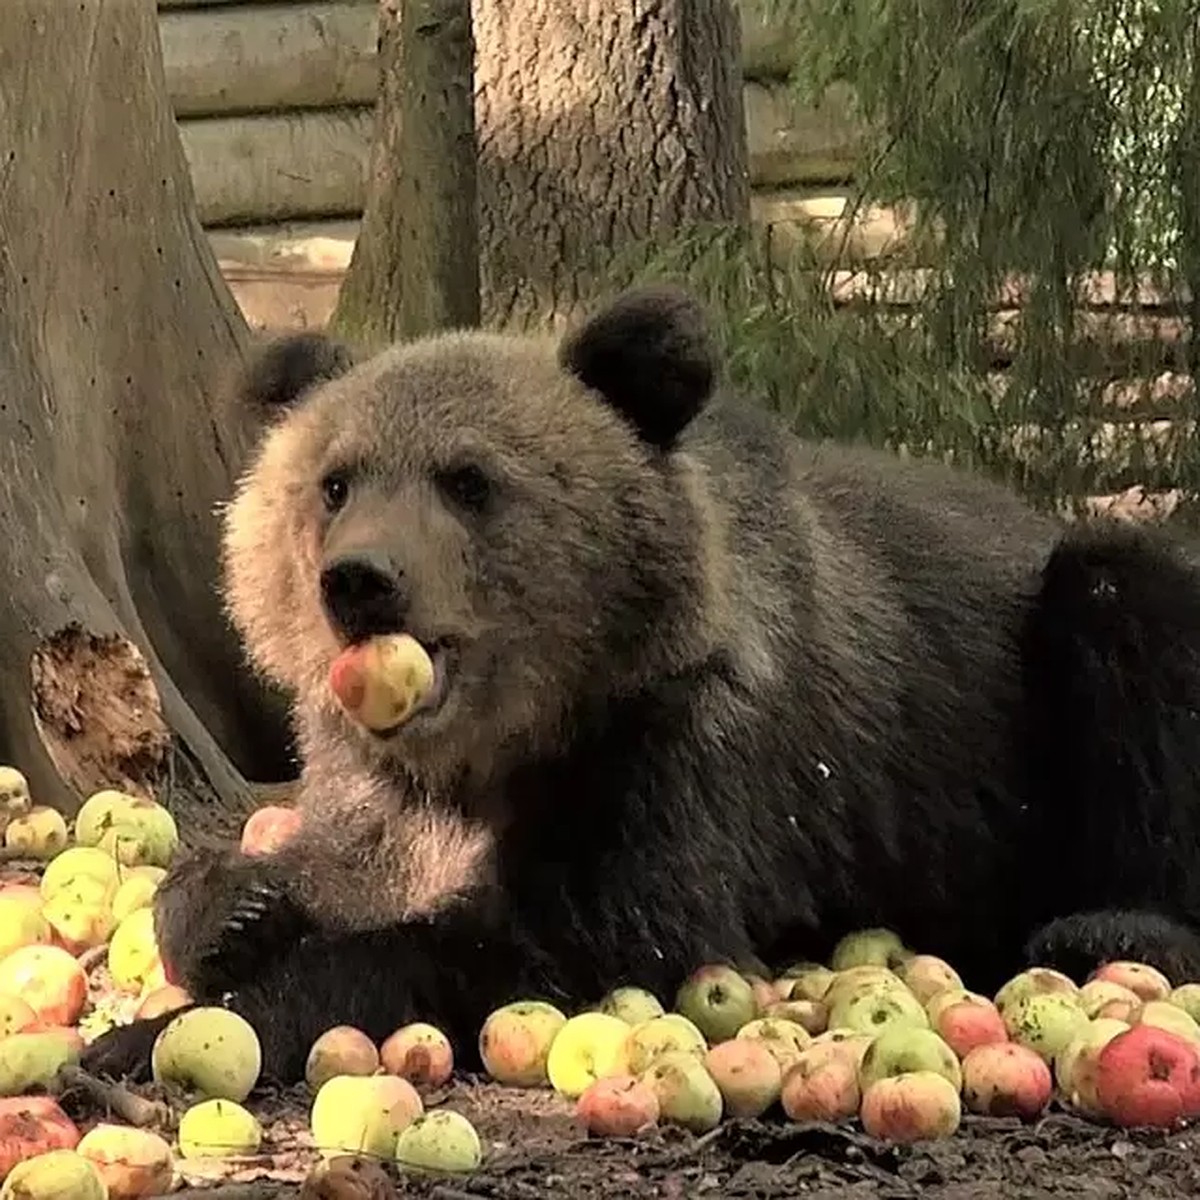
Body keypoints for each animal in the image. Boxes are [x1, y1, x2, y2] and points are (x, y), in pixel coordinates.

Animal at [87, 285, 1200, 1084]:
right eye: (334, 481)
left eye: (469, 480)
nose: (359, 581)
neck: (514, 738)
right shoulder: (385, 783)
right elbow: (344, 861)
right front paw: (232, 907)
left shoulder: (679, 757)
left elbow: (569, 940)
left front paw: (143, 1040)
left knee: (1128, 616)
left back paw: (1111, 924)